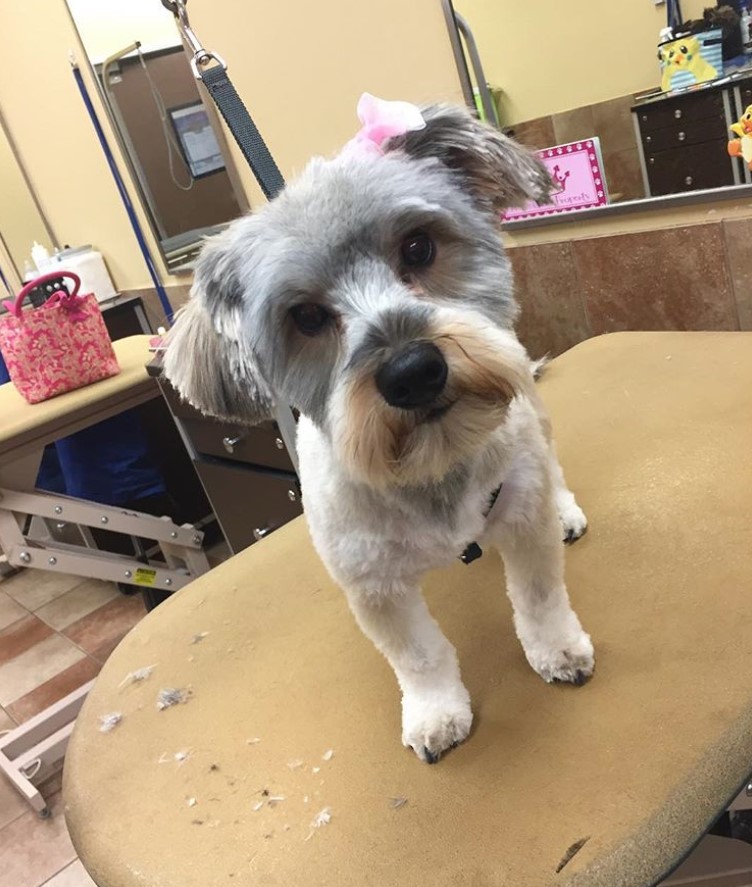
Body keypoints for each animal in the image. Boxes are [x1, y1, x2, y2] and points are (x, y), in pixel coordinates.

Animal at [164, 97, 592, 764]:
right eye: (306, 316)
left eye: (417, 248)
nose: (412, 371)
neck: (431, 467)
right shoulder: (374, 587)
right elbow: (418, 657)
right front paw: (436, 713)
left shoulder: (523, 521)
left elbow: (540, 597)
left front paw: (557, 650)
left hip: (532, 424)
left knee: (551, 464)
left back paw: (566, 508)